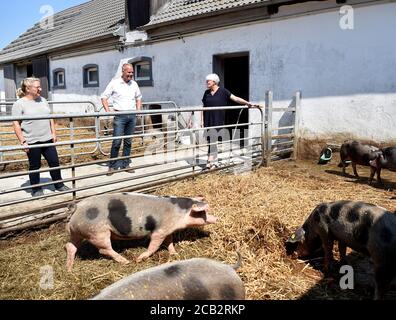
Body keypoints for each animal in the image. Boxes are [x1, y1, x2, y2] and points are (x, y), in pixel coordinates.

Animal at [66, 192, 218, 270]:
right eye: (203, 213)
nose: (216, 218)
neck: (179, 213)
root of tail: (77, 208)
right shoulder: (160, 230)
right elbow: (154, 245)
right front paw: (140, 259)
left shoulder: (168, 230)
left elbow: (170, 241)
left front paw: (174, 253)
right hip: (97, 232)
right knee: (103, 250)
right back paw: (126, 261)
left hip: (77, 231)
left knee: (70, 246)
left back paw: (69, 268)